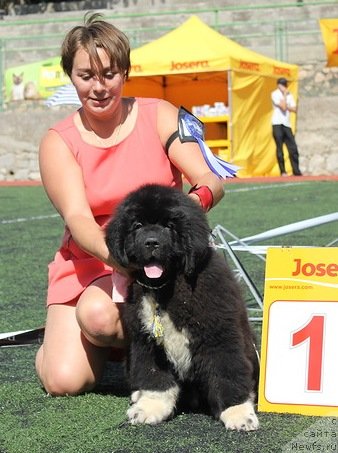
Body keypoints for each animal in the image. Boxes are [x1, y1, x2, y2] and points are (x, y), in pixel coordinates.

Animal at [105, 182, 258, 430]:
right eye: (137, 225)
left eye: (169, 226)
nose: (151, 242)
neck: (165, 287)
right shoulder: (146, 341)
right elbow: (154, 378)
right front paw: (150, 408)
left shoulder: (220, 336)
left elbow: (227, 372)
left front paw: (238, 413)